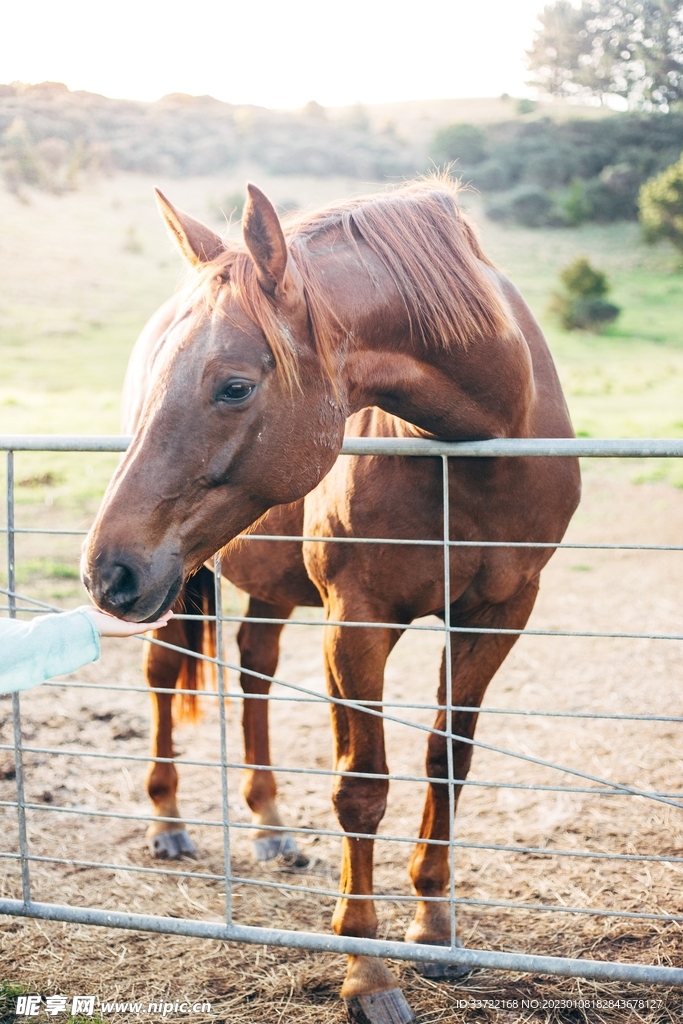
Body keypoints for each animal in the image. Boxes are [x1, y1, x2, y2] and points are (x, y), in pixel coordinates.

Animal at [82, 177, 581, 1023]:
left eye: (235, 385)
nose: (102, 571)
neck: (472, 448)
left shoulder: (498, 615)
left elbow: (447, 759)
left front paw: (435, 928)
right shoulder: (359, 620)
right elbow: (361, 788)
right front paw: (366, 974)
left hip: (260, 584)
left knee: (253, 670)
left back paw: (269, 825)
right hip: (183, 580)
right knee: (162, 676)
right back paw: (169, 822)